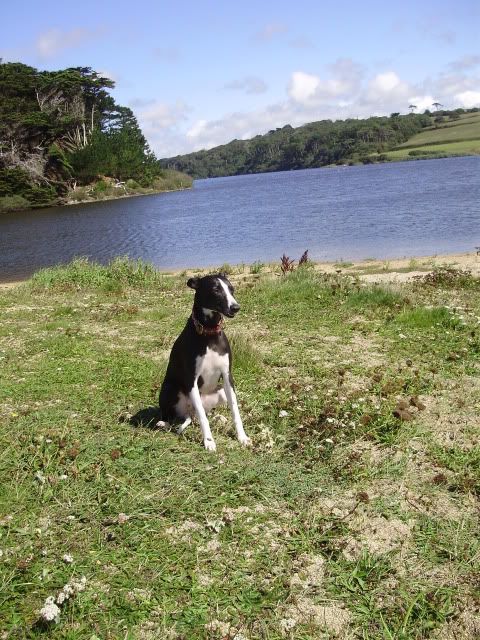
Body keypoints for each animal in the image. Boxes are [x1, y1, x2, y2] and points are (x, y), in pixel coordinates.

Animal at [157, 274, 249, 450]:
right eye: (216, 289)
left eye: (231, 289)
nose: (236, 307)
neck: (209, 333)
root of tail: (188, 413)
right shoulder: (191, 380)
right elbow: (202, 418)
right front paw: (209, 441)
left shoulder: (227, 376)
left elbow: (235, 410)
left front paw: (242, 436)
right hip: (169, 389)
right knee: (174, 414)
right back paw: (163, 423)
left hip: (220, 392)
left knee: (206, 413)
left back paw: (219, 418)